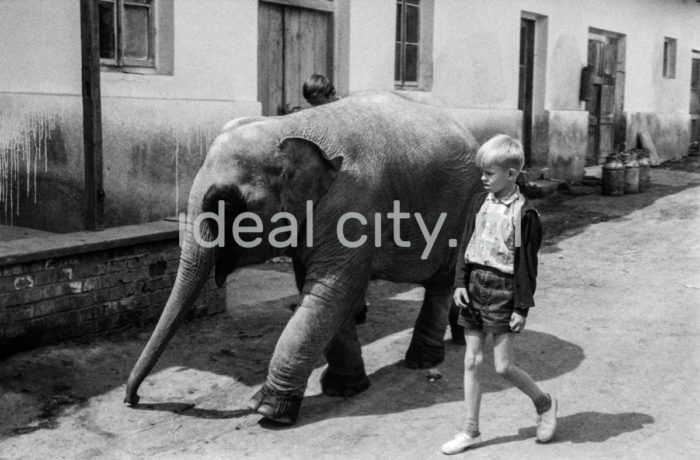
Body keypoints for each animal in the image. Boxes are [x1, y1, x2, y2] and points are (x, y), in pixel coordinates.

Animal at [124, 91, 482, 426]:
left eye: (223, 202)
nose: (132, 400)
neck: (288, 127)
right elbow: (322, 294)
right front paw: (342, 389)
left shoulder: (349, 208)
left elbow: (329, 292)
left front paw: (268, 410)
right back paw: (454, 339)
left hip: (464, 206)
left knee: (443, 280)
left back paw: (424, 361)